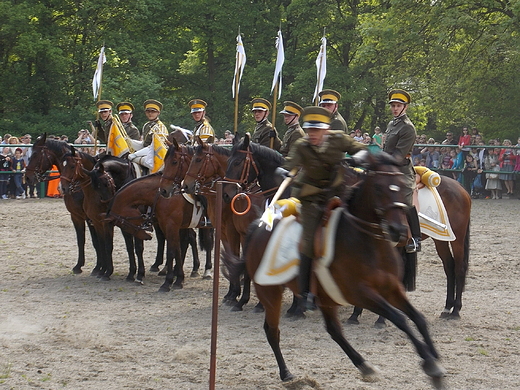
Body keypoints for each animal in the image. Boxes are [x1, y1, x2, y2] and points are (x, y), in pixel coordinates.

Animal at [221, 152, 444, 386]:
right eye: (378, 188)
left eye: (402, 187)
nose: (398, 230)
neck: (367, 242)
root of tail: (258, 228)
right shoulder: (361, 294)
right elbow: (401, 319)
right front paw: (430, 364)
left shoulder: (391, 289)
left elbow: (418, 318)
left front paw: (434, 357)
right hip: (270, 291)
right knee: (272, 331)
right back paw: (286, 373)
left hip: (324, 298)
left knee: (334, 331)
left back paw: (364, 366)